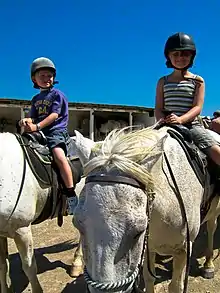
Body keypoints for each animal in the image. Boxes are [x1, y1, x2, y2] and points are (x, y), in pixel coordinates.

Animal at [72, 128, 220, 292]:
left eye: (138, 232)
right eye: (77, 225)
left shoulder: (184, 249)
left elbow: (176, 285)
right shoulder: (148, 249)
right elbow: (149, 278)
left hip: (214, 212)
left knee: (212, 228)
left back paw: (208, 265)